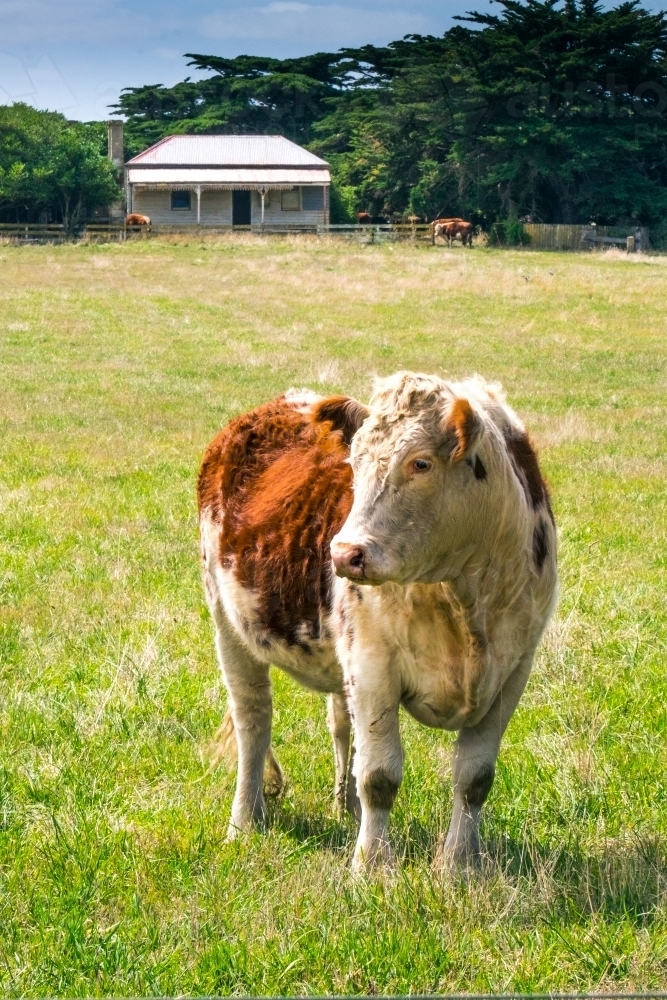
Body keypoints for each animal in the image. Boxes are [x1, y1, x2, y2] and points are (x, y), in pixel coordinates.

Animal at [198, 373, 557, 871]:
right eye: (353, 463)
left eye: (421, 463)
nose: (343, 554)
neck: (466, 600)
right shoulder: (373, 667)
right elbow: (380, 775)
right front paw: (370, 866)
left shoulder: (513, 672)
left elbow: (475, 778)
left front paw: (458, 865)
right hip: (228, 624)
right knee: (253, 721)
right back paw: (245, 822)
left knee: (339, 724)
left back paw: (344, 808)